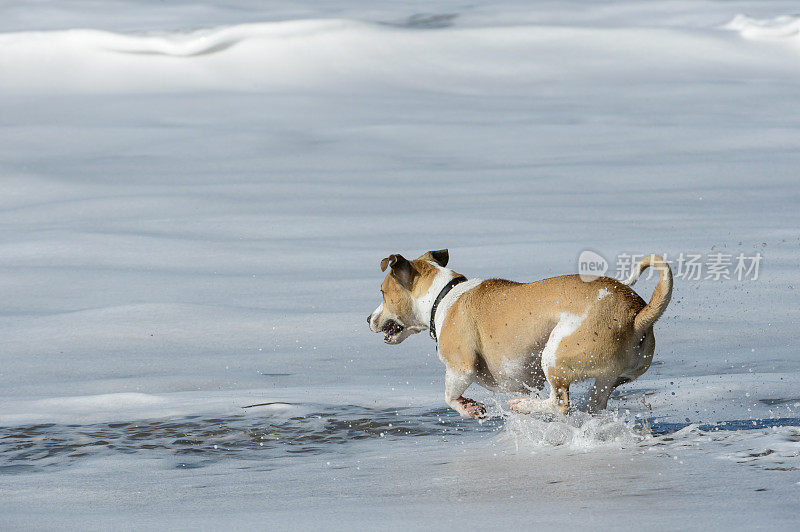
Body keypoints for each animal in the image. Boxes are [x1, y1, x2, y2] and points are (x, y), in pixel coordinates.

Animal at [370, 250, 676, 420]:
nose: (368, 319)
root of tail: (636, 315)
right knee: (593, 403)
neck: (443, 297)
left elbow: (449, 396)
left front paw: (470, 409)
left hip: (554, 355)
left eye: (382, 292)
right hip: (608, 378)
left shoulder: (461, 367)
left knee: (560, 404)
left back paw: (524, 406)